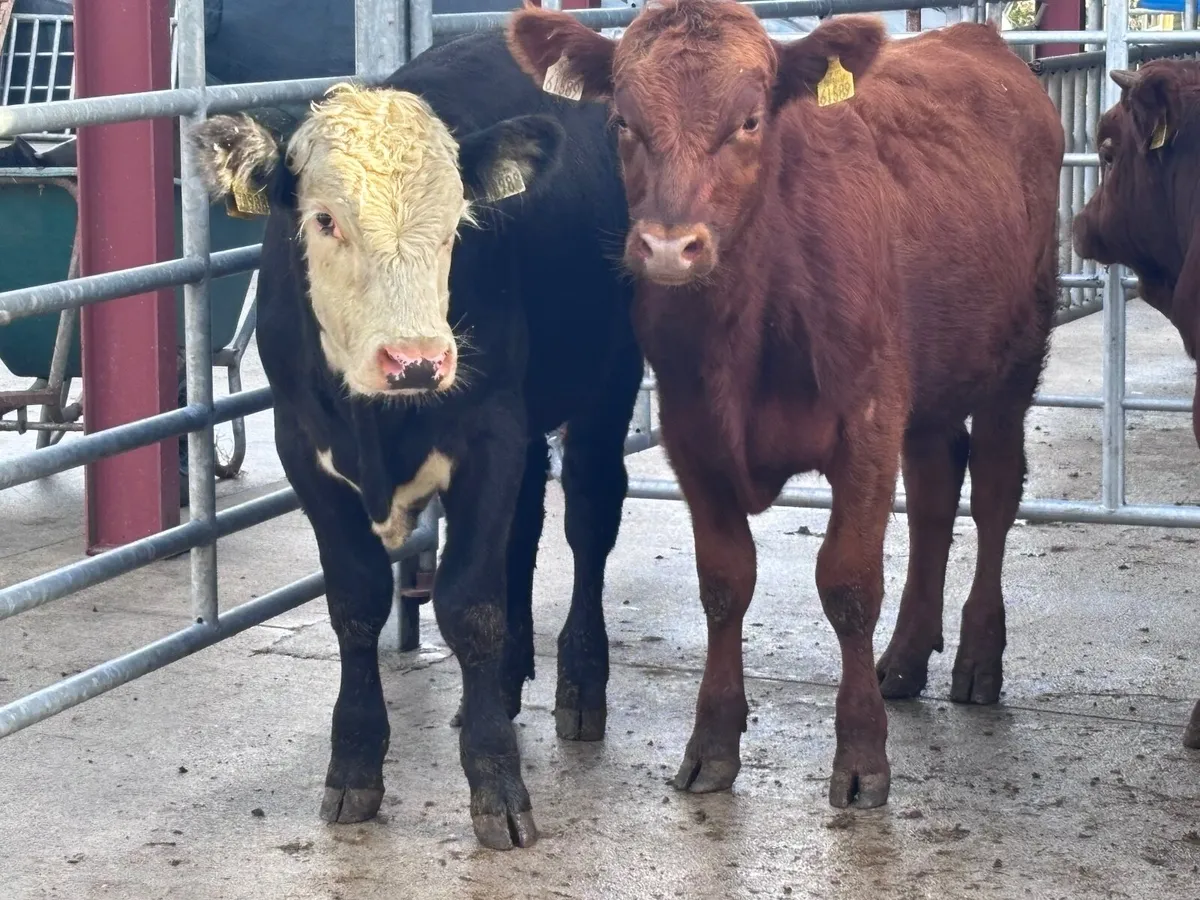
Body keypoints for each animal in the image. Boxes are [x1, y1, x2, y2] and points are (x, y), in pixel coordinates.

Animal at [191, 30, 642, 849]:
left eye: (459, 222)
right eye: (324, 220)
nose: (418, 361)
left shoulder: (490, 430)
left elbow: (469, 605)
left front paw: (496, 783)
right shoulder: (301, 447)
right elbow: (357, 599)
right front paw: (354, 766)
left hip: (609, 379)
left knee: (590, 517)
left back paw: (580, 683)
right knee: (524, 528)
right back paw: (501, 685)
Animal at [509, 0, 1063, 808]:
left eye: (749, 121)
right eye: (622, 121)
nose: (669, 247)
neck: (758, 308)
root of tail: (975, 38)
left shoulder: (867, 422)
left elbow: (848, 584)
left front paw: (861, 756)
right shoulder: (692, 435)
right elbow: (724, 582)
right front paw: (712, 743)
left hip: (1015, 361)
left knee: (993, 491)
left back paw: (978, 658)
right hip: (928, 385)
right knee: (934, 494)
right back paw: (906, 658)